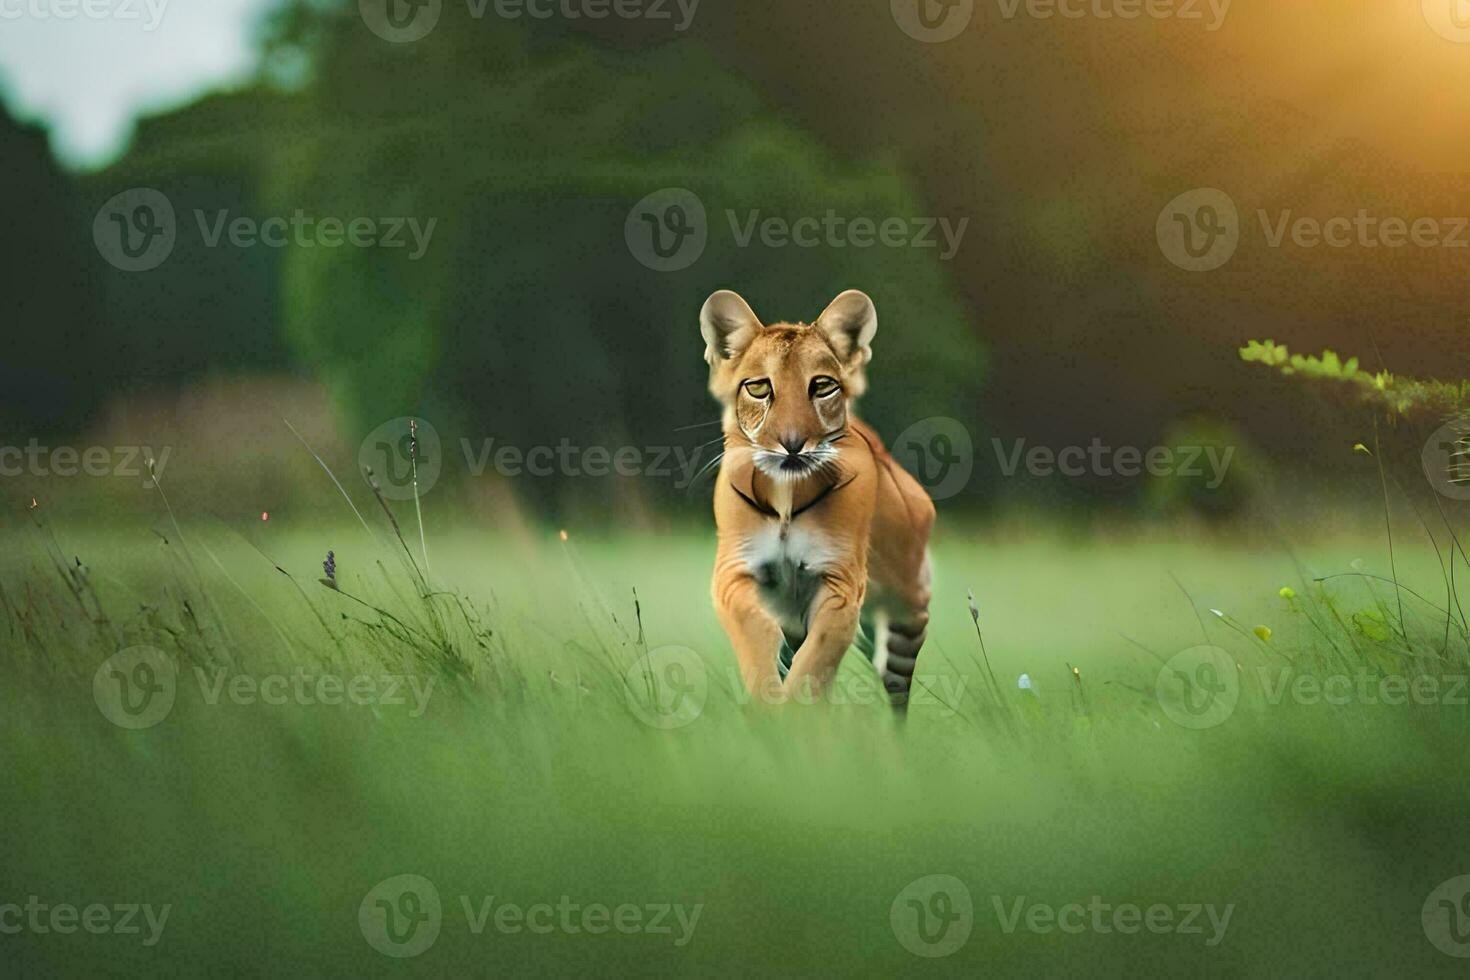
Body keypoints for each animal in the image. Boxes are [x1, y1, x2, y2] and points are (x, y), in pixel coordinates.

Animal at [696, 289, 929, 705]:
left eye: (822, 386)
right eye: (759, 388)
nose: (792, 443)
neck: (786, 496)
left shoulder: (840, 582)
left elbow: (818, 655)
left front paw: (796, 709)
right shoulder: (733, 573)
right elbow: (757, 631)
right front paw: (769, 702)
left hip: (906, 618)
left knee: (897, 691)